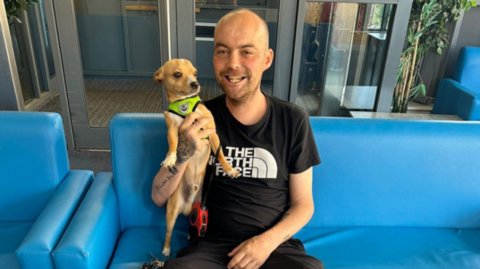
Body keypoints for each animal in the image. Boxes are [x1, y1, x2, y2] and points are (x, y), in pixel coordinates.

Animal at [154, 58, 240, 255]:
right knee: (169, 232)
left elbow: (221, 154)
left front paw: (230, 170)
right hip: (171, 213)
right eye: (177, 74)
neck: (183, 104)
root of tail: (188, 206)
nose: (195, 84)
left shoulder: (212, 132)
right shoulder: (172, 130)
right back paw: (166, 249)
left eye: (195, 73)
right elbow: (173, 144)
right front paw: (171, 158)